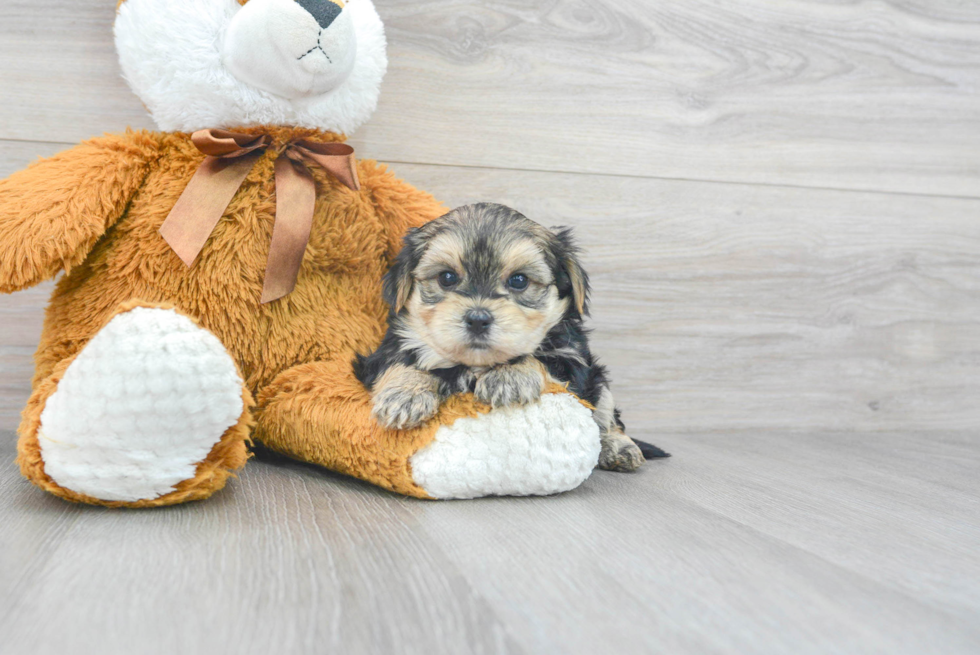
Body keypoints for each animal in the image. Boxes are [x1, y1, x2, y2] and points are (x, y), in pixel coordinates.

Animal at [356, 202, 668, 468]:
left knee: (607, 414)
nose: (478, 319)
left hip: (598, 378)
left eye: (519, 280)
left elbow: (542, 360)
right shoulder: (383, 351)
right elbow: (403, 359)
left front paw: (510, 375)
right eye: (446, 278)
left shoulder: (574, 361)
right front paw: (404, 395)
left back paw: (618, 446)